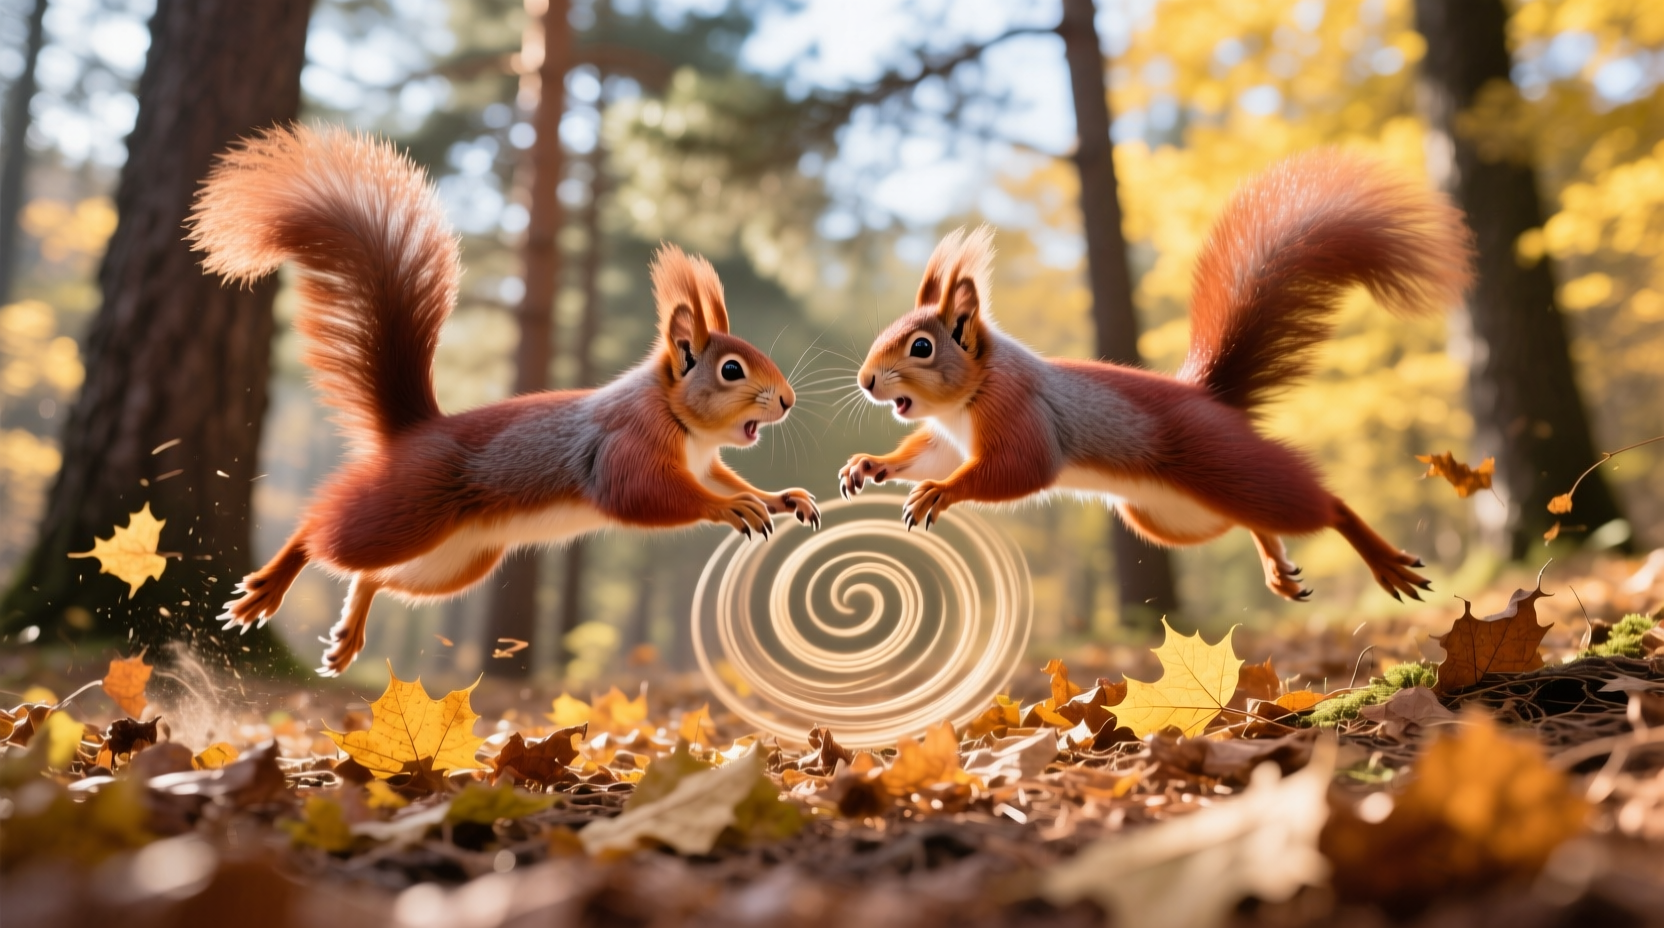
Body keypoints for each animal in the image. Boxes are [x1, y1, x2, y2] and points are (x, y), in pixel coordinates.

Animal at [188, 125, 817, 676]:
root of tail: (413, 431)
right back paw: (268, 586)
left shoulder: (704, 462)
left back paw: (348, 634)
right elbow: (643, 493)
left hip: (458, 560)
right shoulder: (626, 443)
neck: (682, 424)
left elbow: (727, 480)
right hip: (404, 511)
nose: (787, 401)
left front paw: (781, 497)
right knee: (321, 531)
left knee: (374, 577)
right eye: (731, 369)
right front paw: (730, 509)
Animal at [838, 150, 1474, 603]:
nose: (867, 381)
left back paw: (1382, 560)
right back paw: (1277, 564)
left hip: (1227, 464)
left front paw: (940, 493)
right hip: (1171, 516)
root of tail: (1210, 398)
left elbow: (1017, 469)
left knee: (1322, 505)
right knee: (1250, 520)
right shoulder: (950, 440)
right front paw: (869, 466)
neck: (966, 400)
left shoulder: (1020, 413)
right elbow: (926, 455)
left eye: (922, 347)